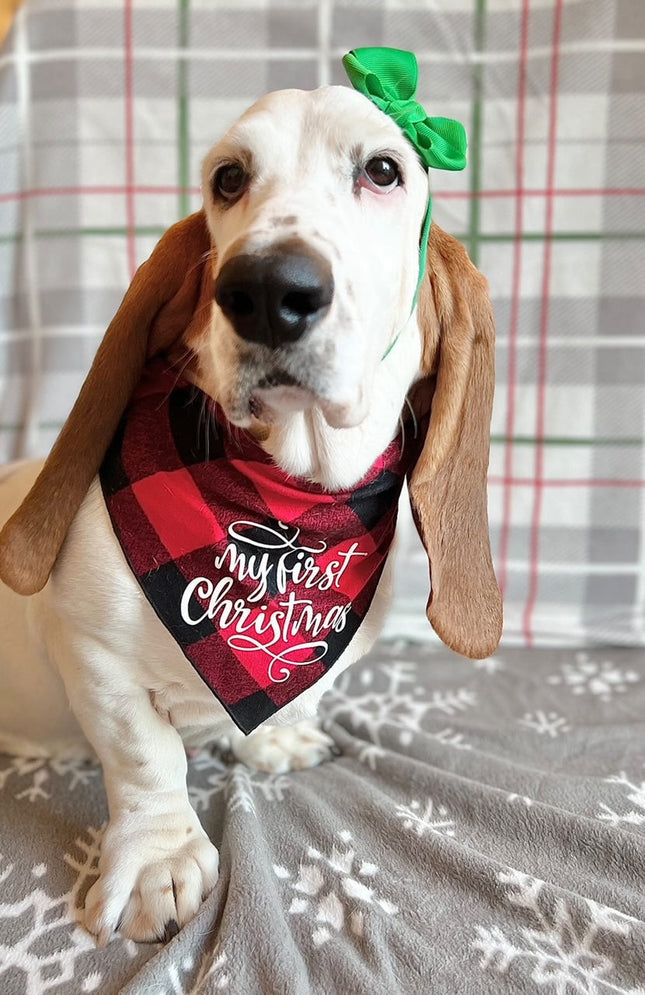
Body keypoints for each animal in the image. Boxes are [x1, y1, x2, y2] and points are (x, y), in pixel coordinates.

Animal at [0, 80, 500, 940]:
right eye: (227, 178)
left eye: (383, 169)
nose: (268, 290)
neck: (281, 511)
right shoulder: (94, 655)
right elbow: (146, 756)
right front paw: (159, 857)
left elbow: (285, 699)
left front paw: (274, 741)